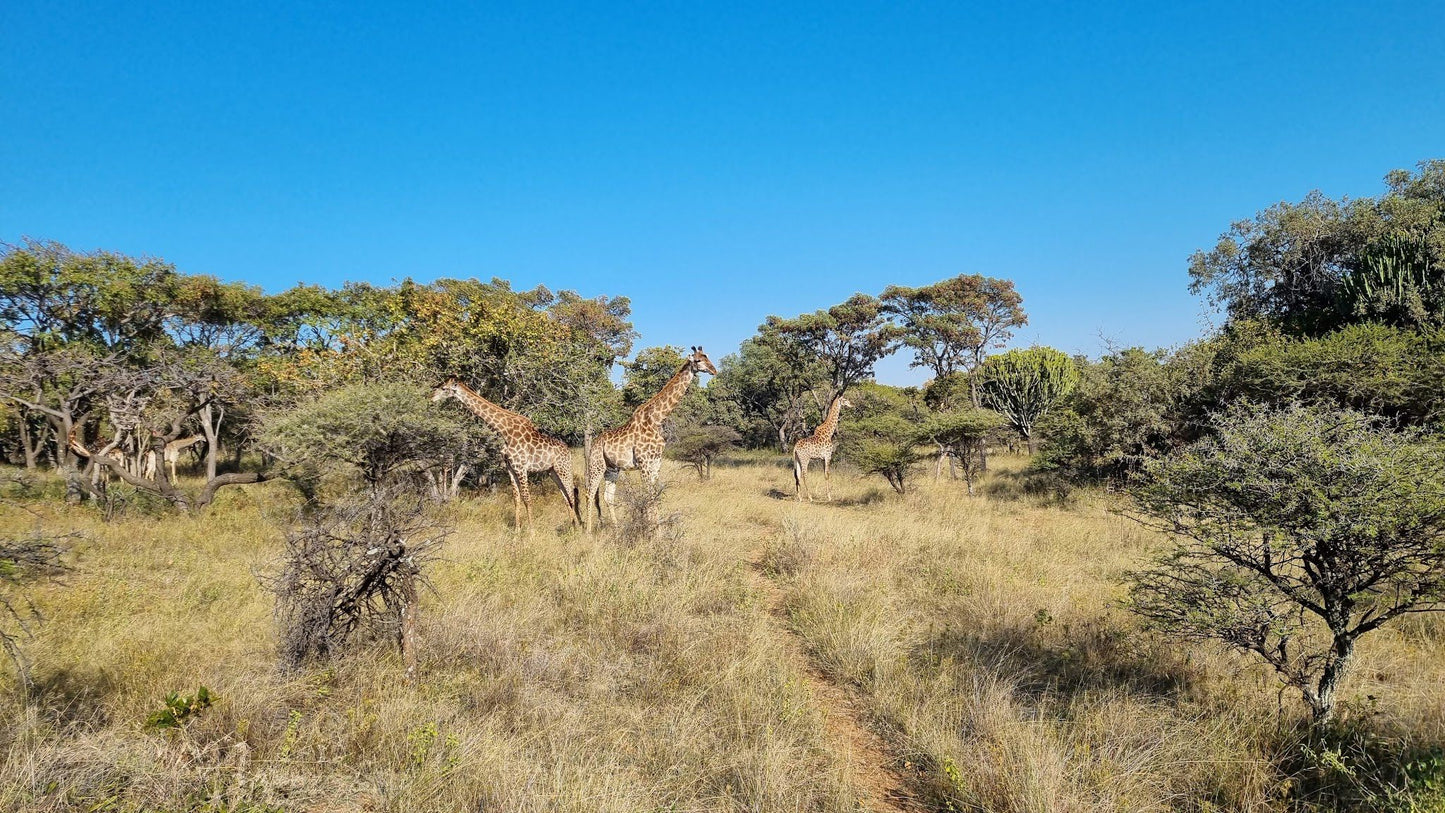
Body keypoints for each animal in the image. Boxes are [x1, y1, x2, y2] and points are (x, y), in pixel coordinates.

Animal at [427, 381, 580, 537]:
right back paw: (572, 529)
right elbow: (516, 499)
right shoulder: (510, 467)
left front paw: (532, 534)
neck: (505, 431)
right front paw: (517, 533)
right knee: (565, 497)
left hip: (564, 469)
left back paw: (578, 530)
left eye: (443, 388)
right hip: (552, 471)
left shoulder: (521, 467)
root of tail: (568, 451)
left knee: (571, 495)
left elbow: (527, 499)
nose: (430, 398)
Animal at [583, 348, 719, 534]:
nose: (714, 370)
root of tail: (594, 443)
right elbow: (649, 497)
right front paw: (651, 532)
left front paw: (656, 532)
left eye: (708, 357)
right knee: (590, 493)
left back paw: (617, 530)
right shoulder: (645, 463)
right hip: (596, 465)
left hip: (612, 469)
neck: (657, 420)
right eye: (698, 360)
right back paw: (588, 532)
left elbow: (655, 496)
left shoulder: (656, 463)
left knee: (607, 497)